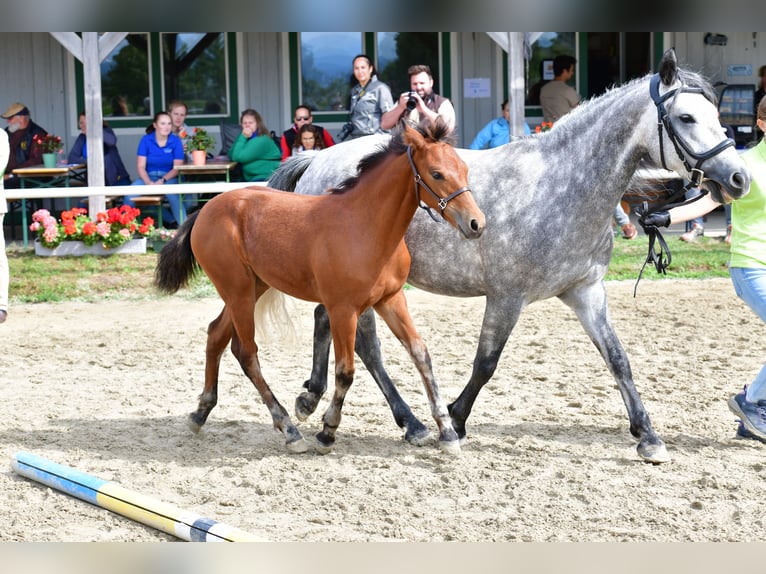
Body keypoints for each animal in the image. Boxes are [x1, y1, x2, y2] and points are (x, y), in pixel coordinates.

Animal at [154, 120, 486, 455]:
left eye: (464, 169)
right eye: (436, 173)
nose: (476, 223)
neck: (365, 225)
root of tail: (207, 208)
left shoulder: (391, 300)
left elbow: (420, 354)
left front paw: (447, 431)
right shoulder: (343, 310)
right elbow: (345, 371)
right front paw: (327, 432)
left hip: (251, 288)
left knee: (216, 335)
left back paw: (201, 412)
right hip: (238, 292)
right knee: (245, 352)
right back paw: (288, 429)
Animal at [266, 49, 750, 463]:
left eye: (716, 115)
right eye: (686, 117)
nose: (739, 178)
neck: (562, 186)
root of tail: (317, 160)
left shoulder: (586, 292)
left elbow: (618, 359)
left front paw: (648, 436)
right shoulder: (506, 297)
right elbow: (485, 363)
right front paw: (455, 420)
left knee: (326, 322)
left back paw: (313, 396)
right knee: (368, 348)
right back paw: (410, 423)